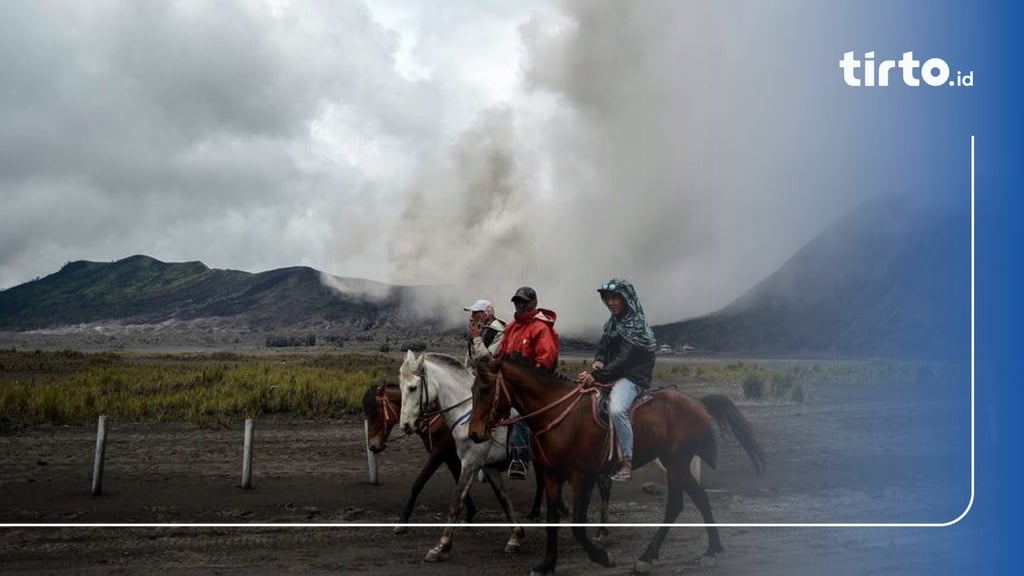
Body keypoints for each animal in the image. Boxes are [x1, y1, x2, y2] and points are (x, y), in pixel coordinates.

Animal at [397, 350, 528, 561]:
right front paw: (515, 537)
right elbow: (503, 497)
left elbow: (456, 501)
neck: (468, 415)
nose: (406, 425)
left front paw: (440, 546)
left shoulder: (470, 463)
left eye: (413, 387)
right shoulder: (488, 466)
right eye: (400, 387)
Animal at [468, 356, 765, 569]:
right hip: (676, 464)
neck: (558, 413)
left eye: (485, 388)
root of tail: (698, 403)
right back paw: (711, 550)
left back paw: (647, 556)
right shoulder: (553, 476)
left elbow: (577, 525)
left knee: (676, 504)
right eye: (472, 388)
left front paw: (602, 556)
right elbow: (552, 520)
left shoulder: (582, 478)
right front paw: (546, 564)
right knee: (700, 497)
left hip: (677, 463)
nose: (474, 432)